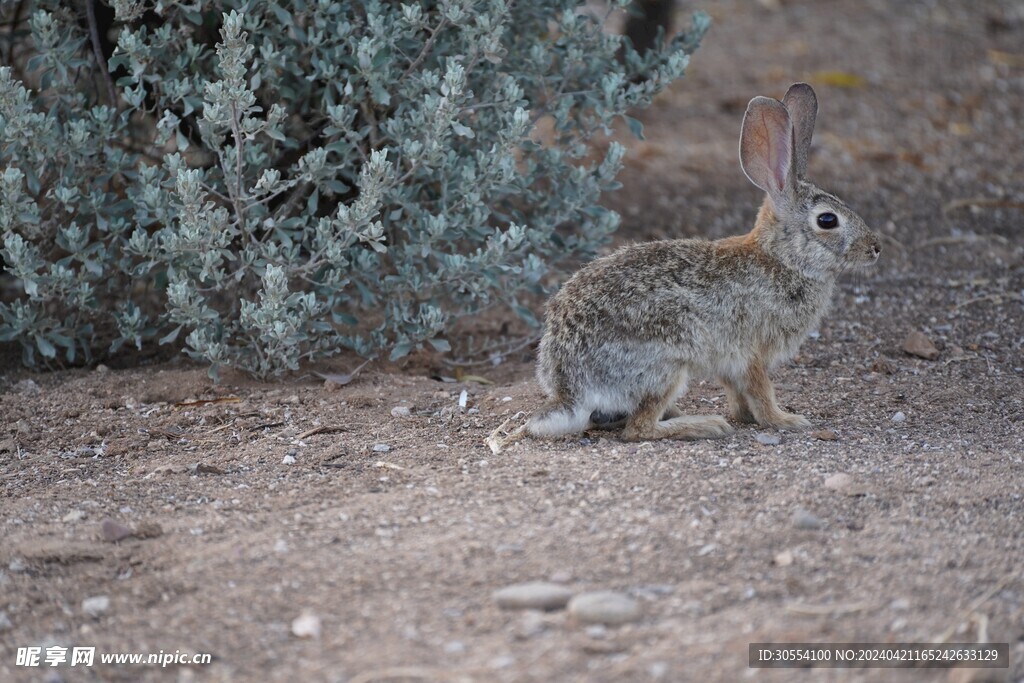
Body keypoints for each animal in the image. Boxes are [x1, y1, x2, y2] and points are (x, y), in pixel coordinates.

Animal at [487, 81, 880, 454]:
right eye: (827, 220)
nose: (875, 248)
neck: (782, 258)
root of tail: (569, 389)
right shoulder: (750, 353)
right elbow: (761, 390)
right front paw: (785, 420)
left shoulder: (729, 363)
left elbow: (737, 393)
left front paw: (744, 416)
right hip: (668, 363)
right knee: (639, 428)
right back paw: (703, 424)